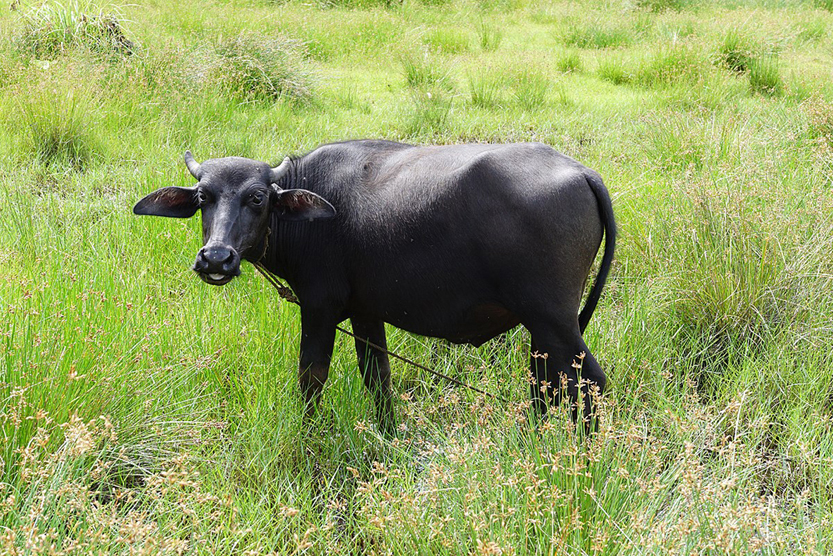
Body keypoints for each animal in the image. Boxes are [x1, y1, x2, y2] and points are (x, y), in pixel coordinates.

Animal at [134, 140, 615, 434]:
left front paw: (310, 435)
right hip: (544, 329)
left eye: (257, 197)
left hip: (553, 321)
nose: (217, 259)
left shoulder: (319, 309)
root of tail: (581, 172)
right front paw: (388, 434)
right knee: (547, 381)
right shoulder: (367, 315)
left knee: (589, 381)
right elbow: (378, 379)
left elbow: (311, 378)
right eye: (203, 197)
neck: (309, 209)